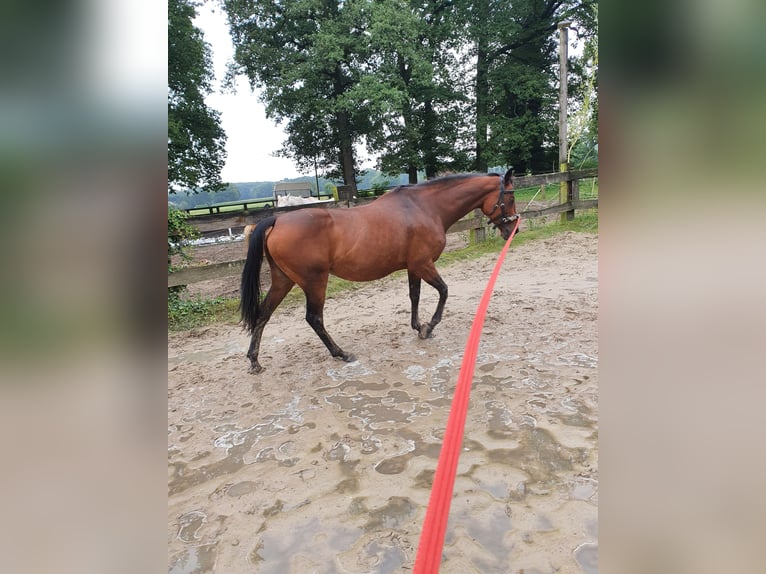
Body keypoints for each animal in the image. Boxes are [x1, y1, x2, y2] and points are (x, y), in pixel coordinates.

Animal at [240, 169, 518, 373]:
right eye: (511, 198)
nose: (513, 230)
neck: (425, 207)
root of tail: (277, 220)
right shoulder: (424, 264)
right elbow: (444, 291)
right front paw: (429, 327)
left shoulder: (414, 267)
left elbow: (414, 296)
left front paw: (418, 326)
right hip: (314, 281)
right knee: (314, 318)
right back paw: (341, 353)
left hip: (284, 280)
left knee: (263, 314)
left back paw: (254, 361)